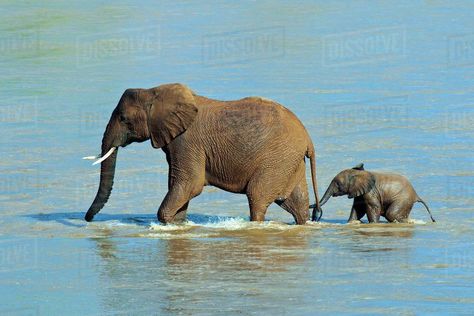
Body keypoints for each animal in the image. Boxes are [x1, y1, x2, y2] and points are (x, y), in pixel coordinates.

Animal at [84, 82, 322, 223]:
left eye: (124, 119)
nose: (88, 220)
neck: (154, 92)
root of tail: (308, 138)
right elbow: (178, 186)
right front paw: (178, 224)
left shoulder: (186, 141)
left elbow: (190, 184)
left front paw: (166, 221)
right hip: (288, 161)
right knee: (296, 203)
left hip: (277, 159)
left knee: (257, 197)